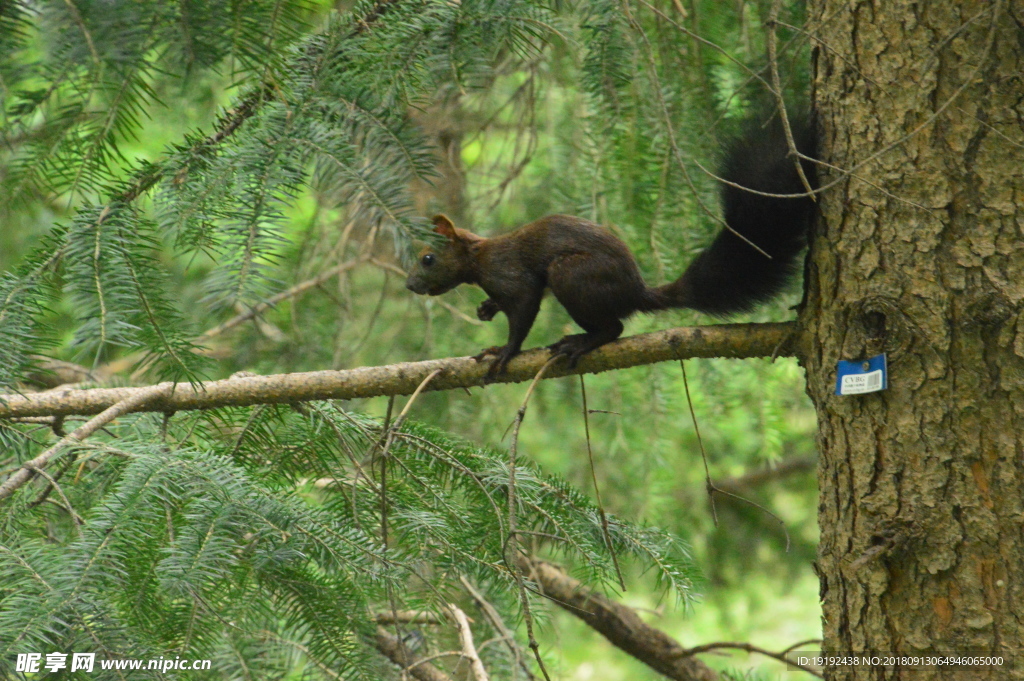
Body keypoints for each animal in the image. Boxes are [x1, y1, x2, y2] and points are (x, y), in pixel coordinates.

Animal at [403, 114, 811, 374]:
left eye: (427, 258)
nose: (409, 285)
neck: (478, 258)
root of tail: (636, 292)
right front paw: (486, 309)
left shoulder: (511, 275)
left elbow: (523, 310)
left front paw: (503, 351)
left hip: (573, 275)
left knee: (614, 328)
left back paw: (579, 342)